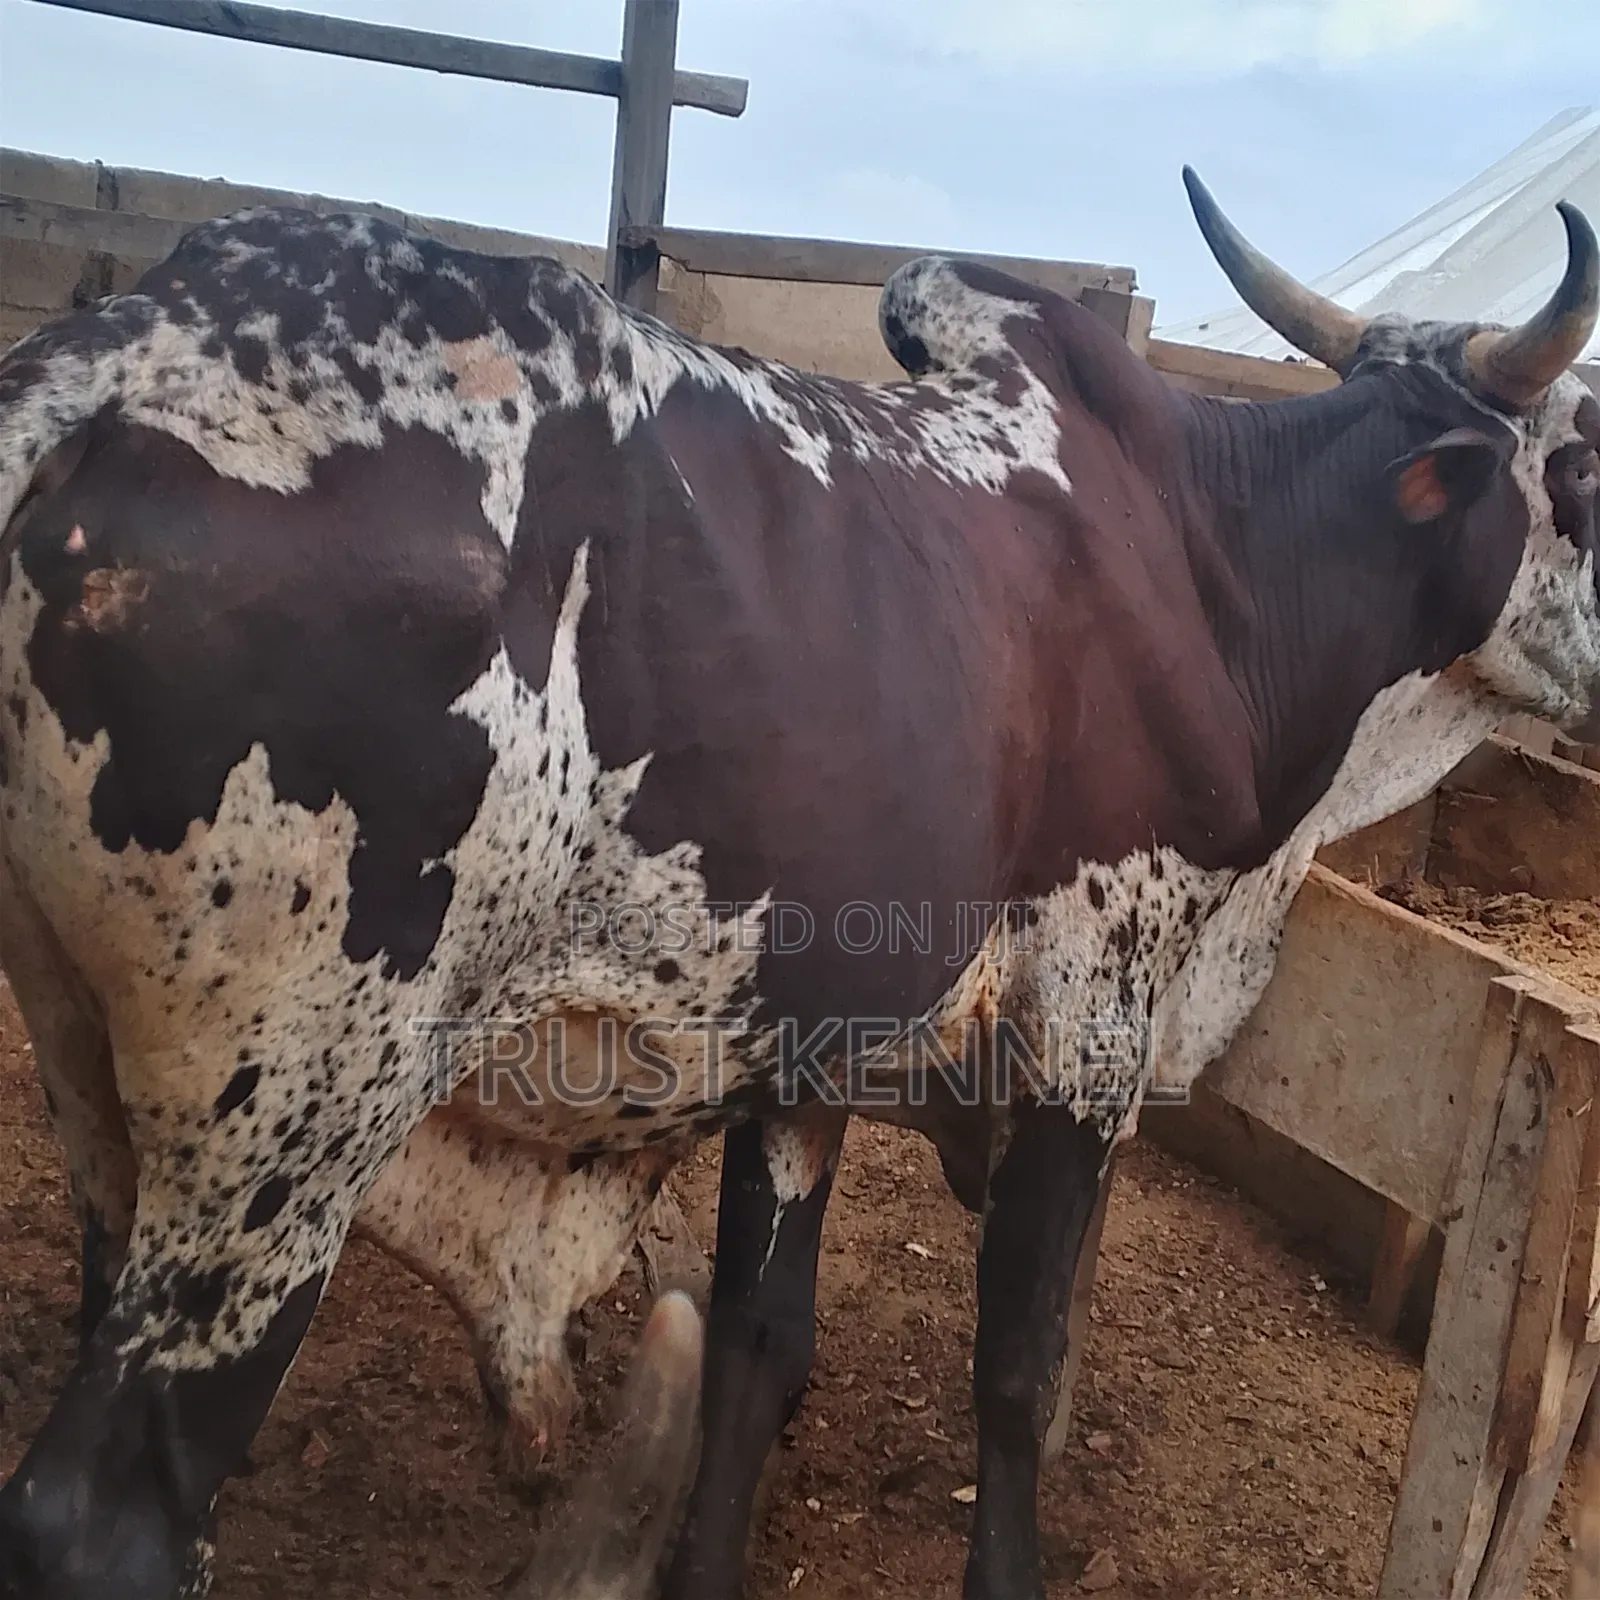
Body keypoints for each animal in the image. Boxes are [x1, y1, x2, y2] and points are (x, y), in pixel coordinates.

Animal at [0, 163, 1597, 1600]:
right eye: (1585, 461)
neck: (1214, 563)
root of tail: (94, 372)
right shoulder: (1089, 1018)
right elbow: (1014, 1364)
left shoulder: (811, 1044)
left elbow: (759, 1349)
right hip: (300, 1109)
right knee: (104, 1521)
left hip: (96, 1070)